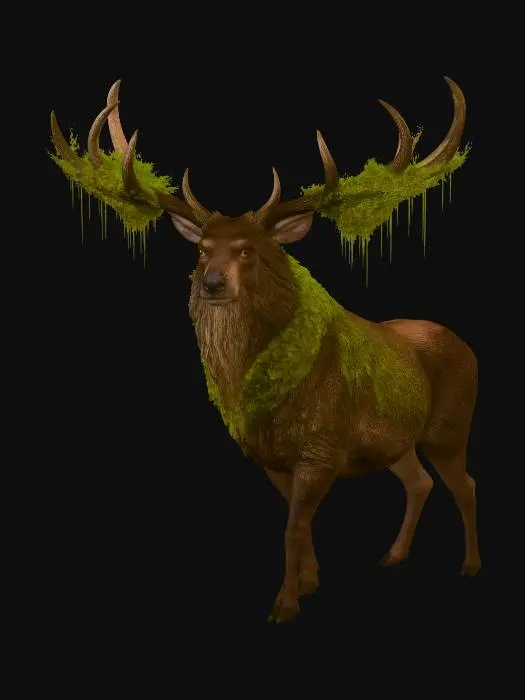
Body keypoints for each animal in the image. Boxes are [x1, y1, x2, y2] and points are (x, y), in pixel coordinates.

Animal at [50, 76, 480, 624]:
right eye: (202, 250)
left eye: (248, 250)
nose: (211, 283)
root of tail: (469, 348)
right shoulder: (271, 459)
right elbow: (300, 526)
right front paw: (311, 583)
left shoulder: (320, 448)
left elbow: (293, 528)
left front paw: (285, 605)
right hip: (397, 440)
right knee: (419, 481)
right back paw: (394, 554)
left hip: (449, 426)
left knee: (464, 483)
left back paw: (470, 565)